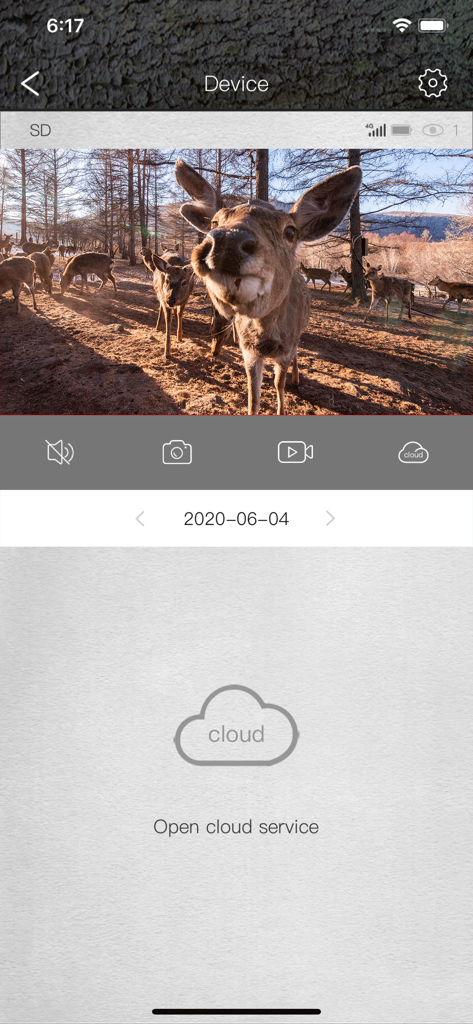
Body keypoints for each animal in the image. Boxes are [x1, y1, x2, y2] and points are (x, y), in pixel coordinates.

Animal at [174, 158, 362, 415]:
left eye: (290, 231)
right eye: (214, 222)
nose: (227, 241)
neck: (266, 338)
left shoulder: (285, 348)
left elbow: (278, 384)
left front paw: (283, 403)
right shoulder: (249, 352)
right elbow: (253, 397)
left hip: (299, 333)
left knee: (297, 354)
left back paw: (297, 378)